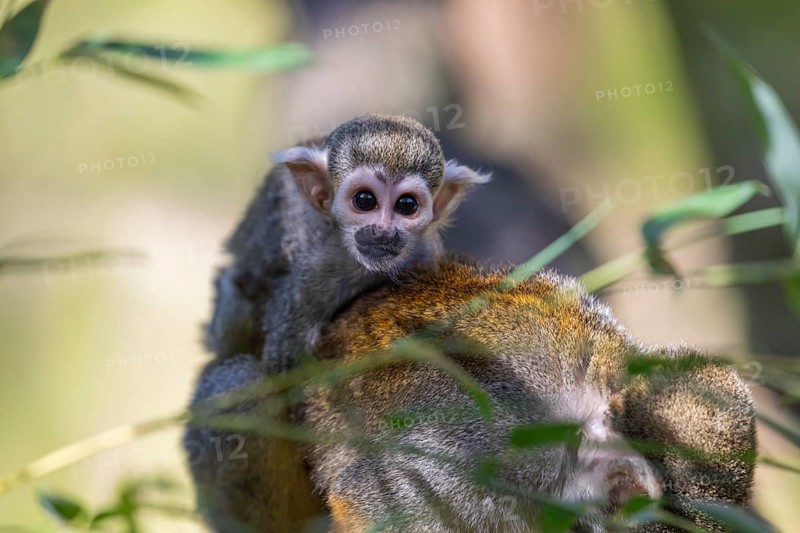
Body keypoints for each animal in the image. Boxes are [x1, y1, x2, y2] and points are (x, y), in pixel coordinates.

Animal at [205, 113, 490, 373]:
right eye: (364, 200)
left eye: (407, 205)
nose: (383, 231)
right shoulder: (310, 276)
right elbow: (284, 373)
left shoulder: (425, 255)